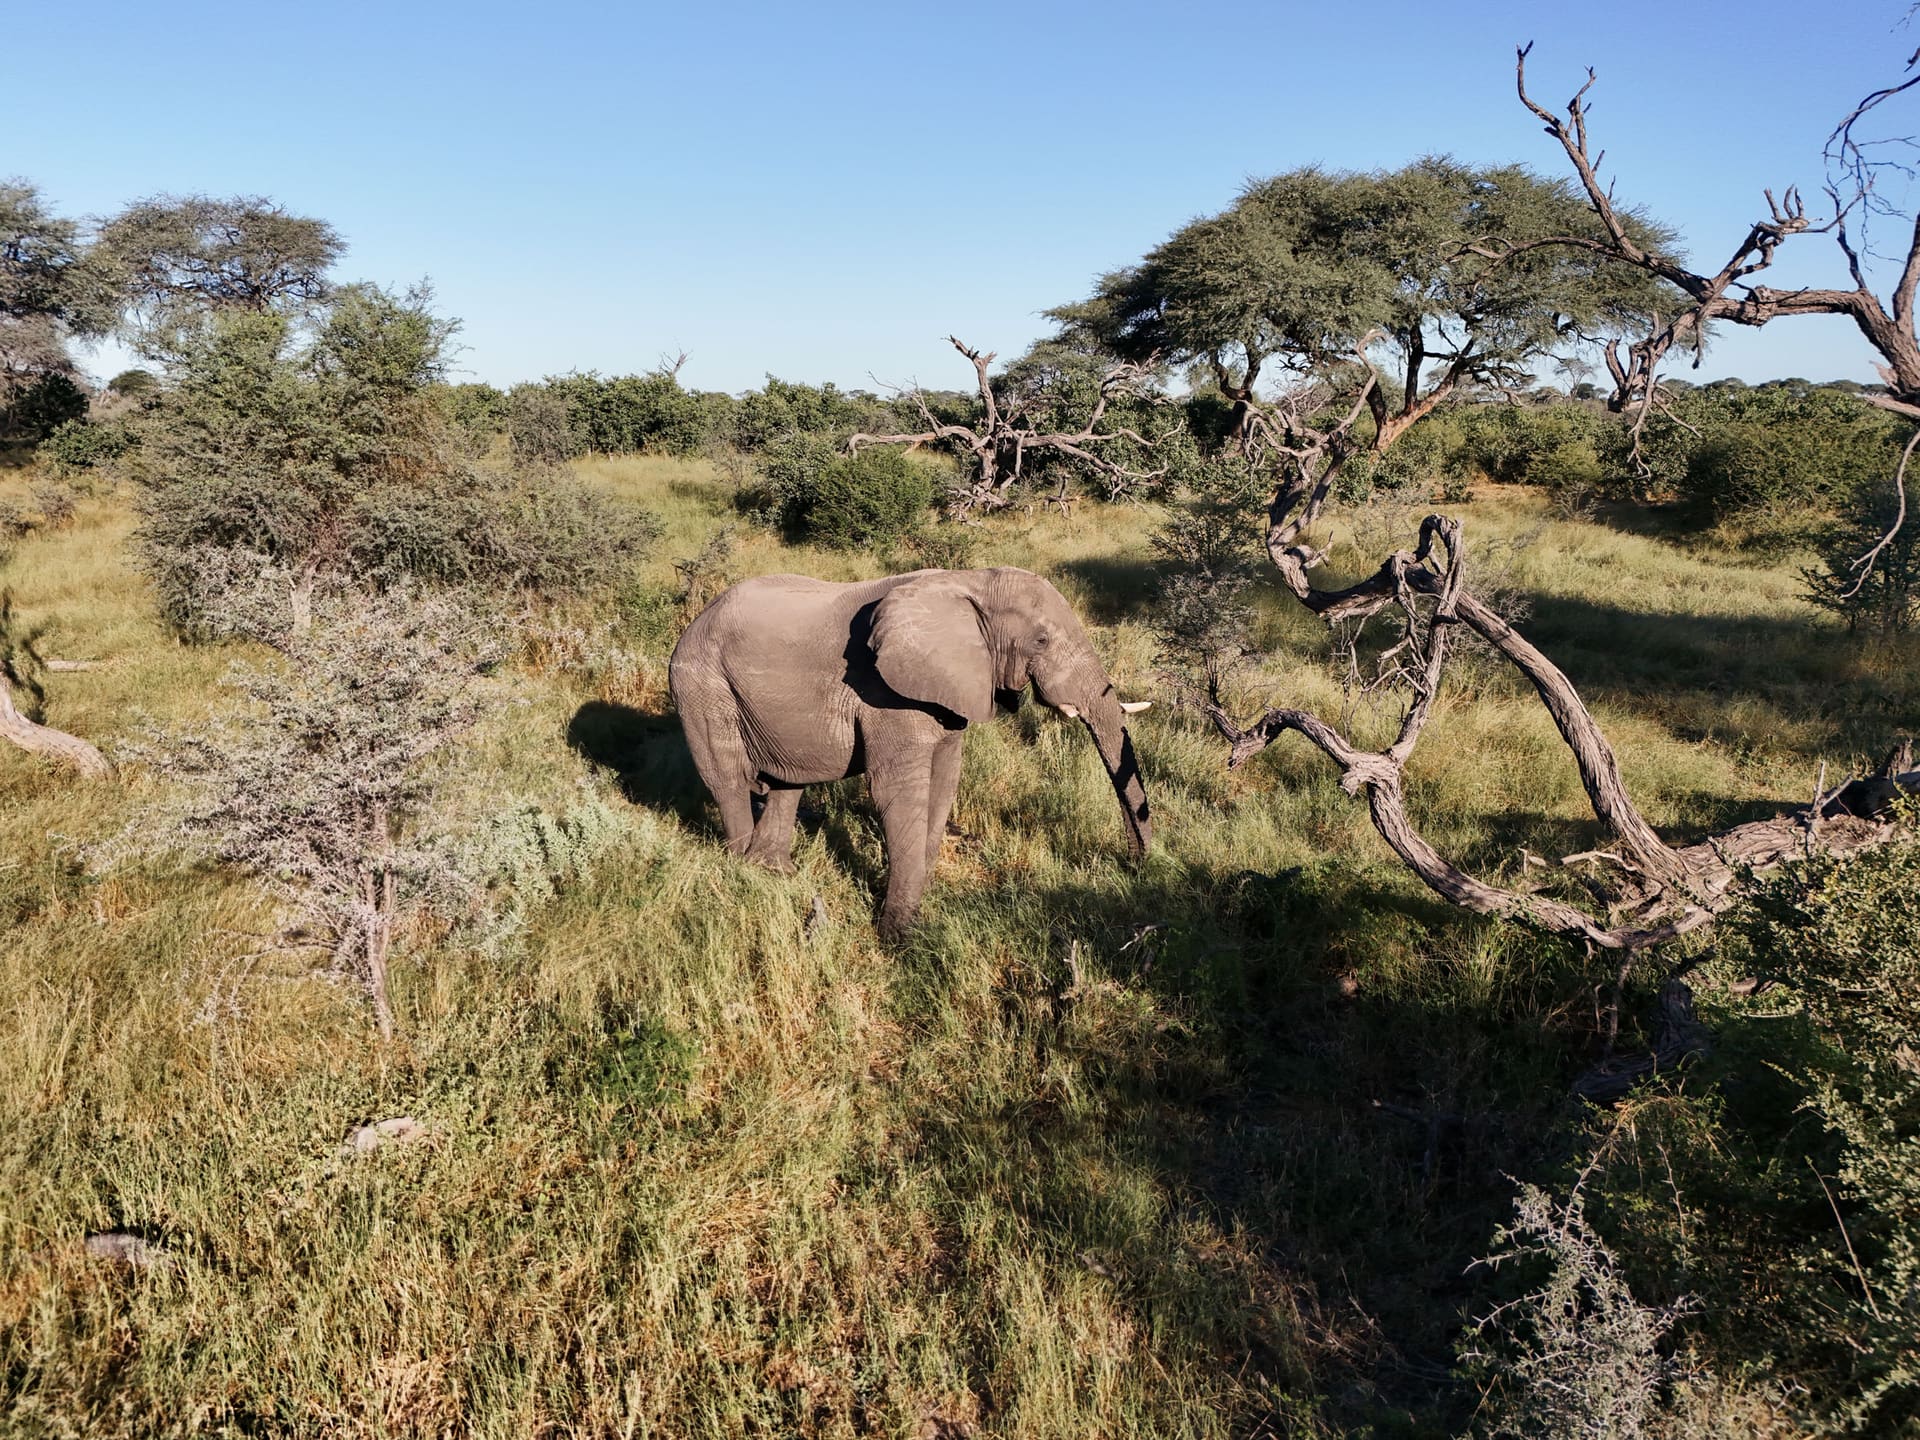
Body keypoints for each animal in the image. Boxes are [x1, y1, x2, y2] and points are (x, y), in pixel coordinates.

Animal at [668, 566, 1152, 938]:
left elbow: (944, 782)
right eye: (1041, 642)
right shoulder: (886, 694)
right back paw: (743, 874)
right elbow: (897, 794)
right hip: (701, 681)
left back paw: (775, 873)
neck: (971, 582)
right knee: (728, 779)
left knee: (791, 781)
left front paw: (921, 908)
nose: (1136, 864)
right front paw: (899, 937)